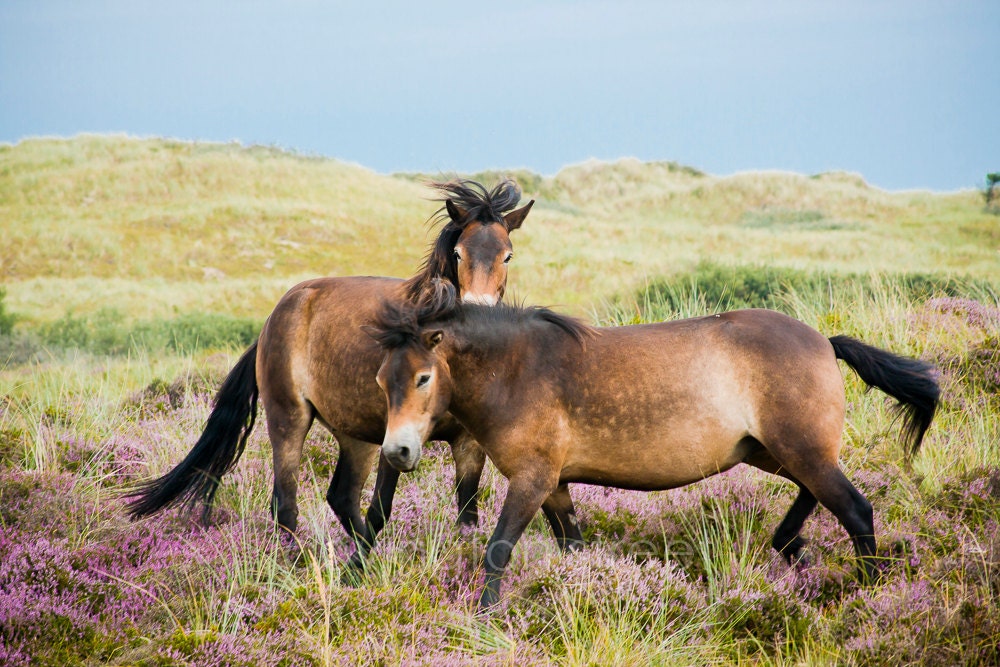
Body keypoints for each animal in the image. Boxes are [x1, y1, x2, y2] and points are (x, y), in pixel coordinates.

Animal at [126, 179, 583, 567]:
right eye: (458, 253)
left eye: (507, 254)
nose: (478, 310)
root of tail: (277, 315)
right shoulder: (395, 440)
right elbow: (381, 507)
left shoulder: (468, 442)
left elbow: (466, 513)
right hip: (290, 418)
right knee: (286, 502)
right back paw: (305, 563)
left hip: (353, 434)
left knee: (340, 497)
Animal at [368, 282, 940, 608]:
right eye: (380, 380)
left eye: (423, 378)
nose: (397, 453)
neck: (519, 370)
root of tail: (824, 341)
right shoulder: (554, 486)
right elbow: (574, 548)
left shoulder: (531, 481)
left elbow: (497, 549)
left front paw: (485, 618)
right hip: (775, 452)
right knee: (816, 495)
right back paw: (789, 546)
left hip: (799, 450)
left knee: (855, 508)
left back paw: (868, 595)